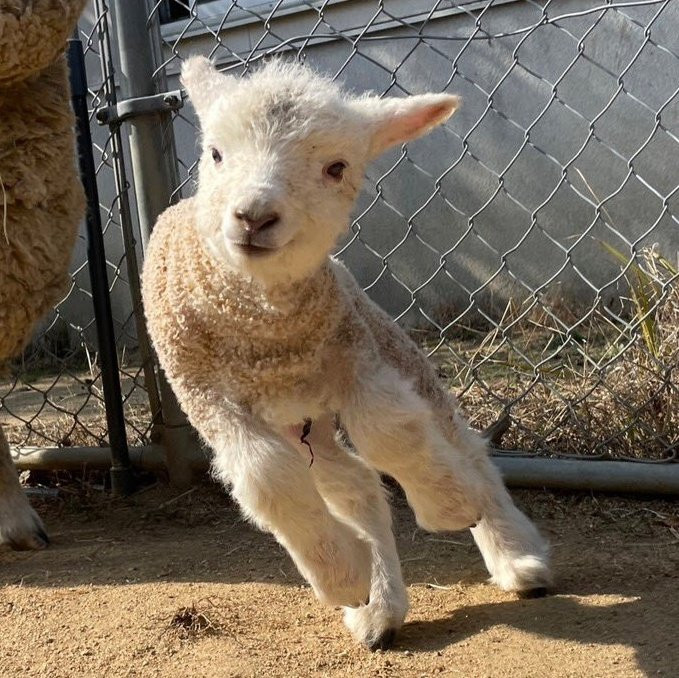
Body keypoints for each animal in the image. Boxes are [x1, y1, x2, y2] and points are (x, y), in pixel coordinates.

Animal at [143, 58, 552, 652]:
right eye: (215, 153)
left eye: (336, 167)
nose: (253, 217)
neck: (269, 335)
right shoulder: (208, 395)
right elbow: (268, 479)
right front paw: (342, 576)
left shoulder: (356, 357)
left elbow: (389, 431)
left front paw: (450, 506)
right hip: (300, 422)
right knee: (352, 485)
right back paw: (376, 603)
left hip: (388, 346)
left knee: (461, 443)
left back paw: (516, 555)